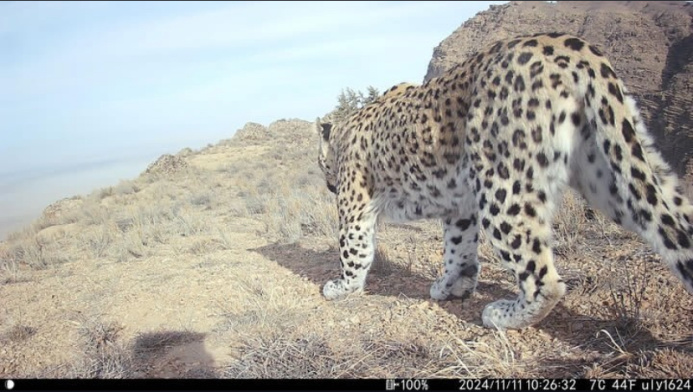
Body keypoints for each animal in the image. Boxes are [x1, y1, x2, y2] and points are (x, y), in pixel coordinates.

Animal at [314, 32, 692, 330]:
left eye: (320, 164)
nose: (328, 184)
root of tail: (573, 47)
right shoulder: (460, 206)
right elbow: (459, 249)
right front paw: (453, 286)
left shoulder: (355, 204)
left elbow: (353, 249)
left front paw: (341, 287)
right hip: (612, 172)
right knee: (672, 223)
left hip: (504, 185)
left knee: (545, 278)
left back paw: (502, 315)